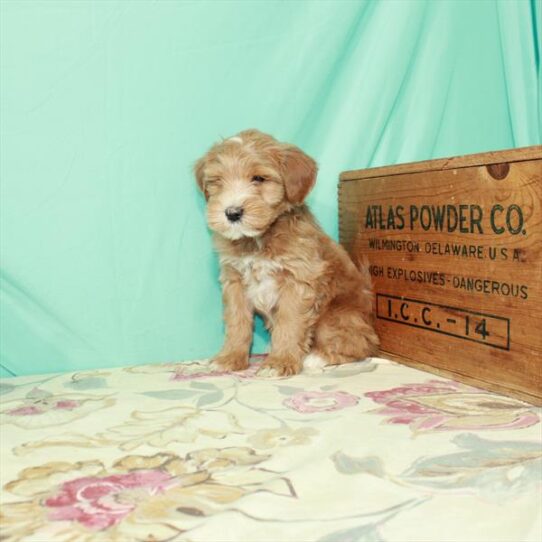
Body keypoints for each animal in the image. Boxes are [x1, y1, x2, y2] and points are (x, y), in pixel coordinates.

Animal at [194, 131, 378, 378]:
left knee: (360, 344)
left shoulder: (298, 281)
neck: (257, 240)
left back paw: (316, 358)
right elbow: (237, 322)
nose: (232, 213)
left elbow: (289, 323)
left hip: (335, 318)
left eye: (259, 178)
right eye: (218, 181)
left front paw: (279, 362)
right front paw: (230, 358)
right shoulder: (234, 282)